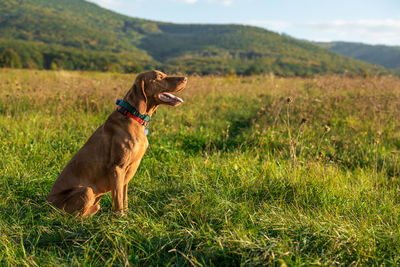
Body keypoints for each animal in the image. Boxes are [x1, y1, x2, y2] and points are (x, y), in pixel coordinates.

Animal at [47, 70, 187, 217]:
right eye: (159, 77)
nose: (185, 78)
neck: (133, 116)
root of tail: (48, 204)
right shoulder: (117, 168)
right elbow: (118, 199)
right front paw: (120, 218)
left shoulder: (128, 172)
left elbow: (124, 198)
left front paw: (126, 216)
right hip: (87, 191)